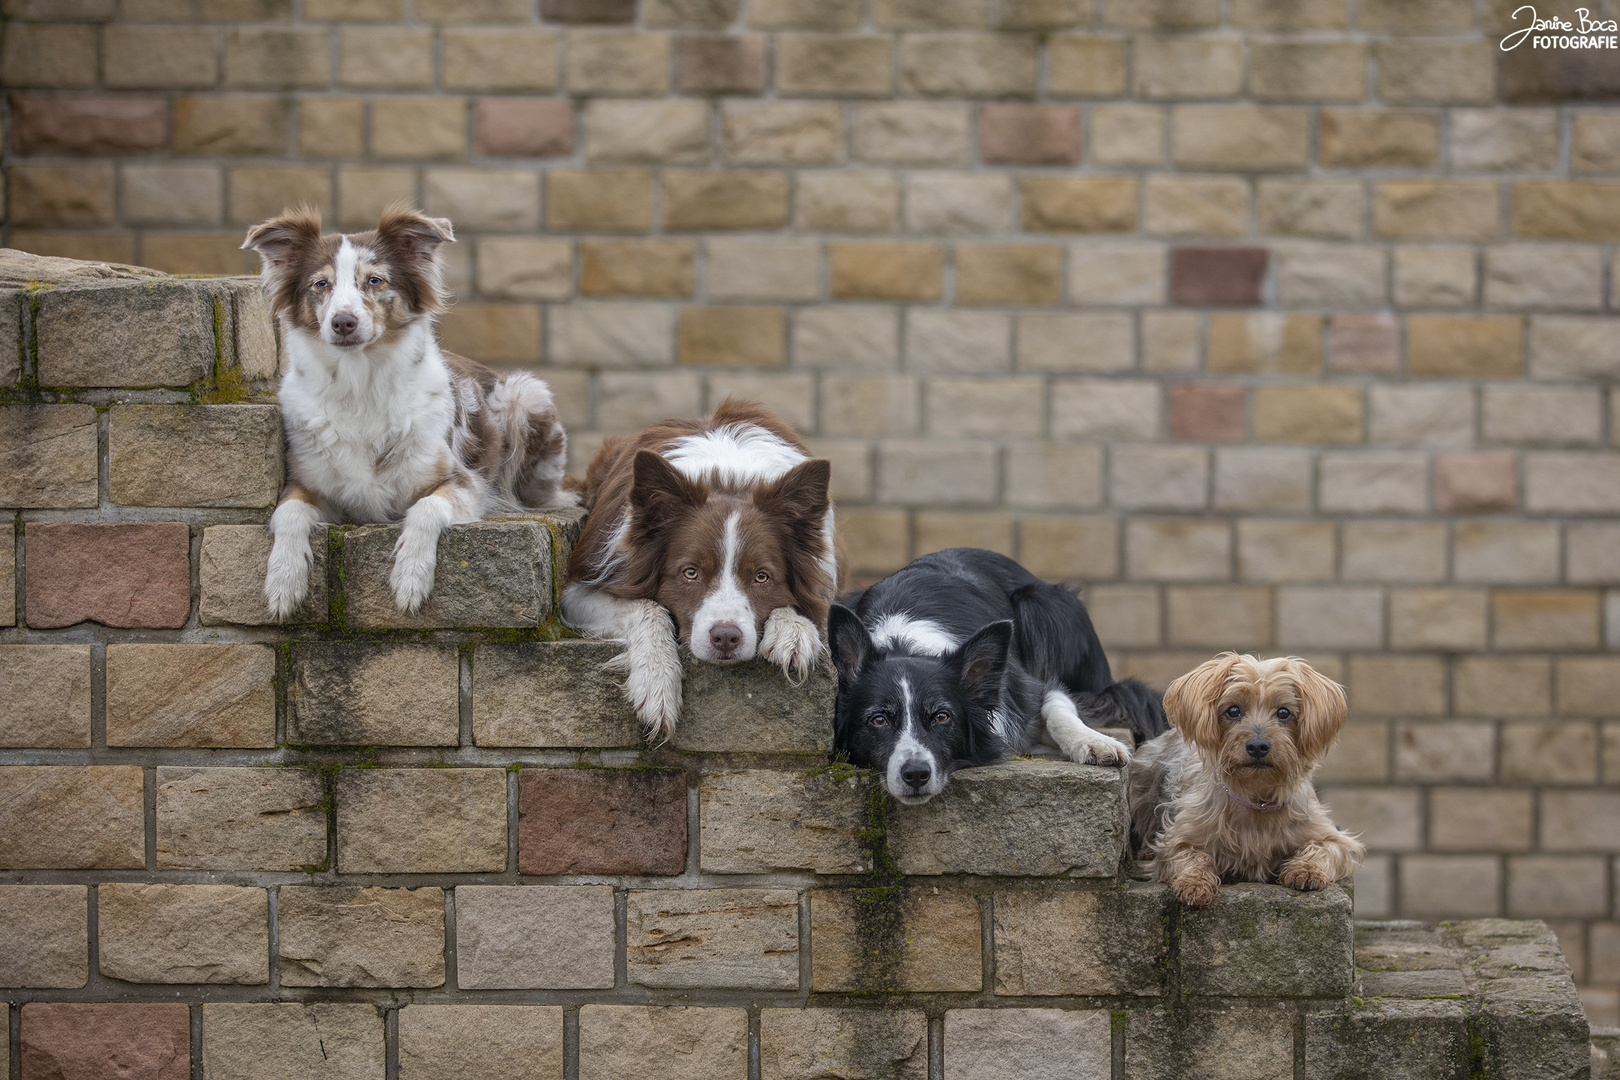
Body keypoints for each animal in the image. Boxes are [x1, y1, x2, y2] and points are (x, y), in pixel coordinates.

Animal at [236, 205, 573, 621]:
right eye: (320, 284)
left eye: (374, 280)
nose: (343, 322)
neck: (359, 385)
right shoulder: (310, 484)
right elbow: (287, 513)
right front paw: (284, 580)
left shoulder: (464, 483)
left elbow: (426, 508)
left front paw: (410, 577)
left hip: (524, 393)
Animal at [563, 401, 842, 738]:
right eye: (691, 573)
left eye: (761, 577)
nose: (725, 638)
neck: (729, 476)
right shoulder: (579, 590)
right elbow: (646, 608)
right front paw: (656, 683)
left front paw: (794, 630)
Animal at [829, 553, 1172, 806]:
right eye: (878, 720)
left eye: (942, 716)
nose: (915, 774)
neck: (906, 645)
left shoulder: (1027, 690)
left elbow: (1057, 709)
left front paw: (1093, 742)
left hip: (1043, 605)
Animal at [1127, 654, 1367, 906]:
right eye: (1233, 711)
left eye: (1284, 713)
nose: (1258, 746)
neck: (1258, 796)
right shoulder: (1179, 839)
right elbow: (1191, 855)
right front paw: (1195, 883)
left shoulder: (1331, 838)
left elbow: (1323, 849)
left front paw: (1307, 870)